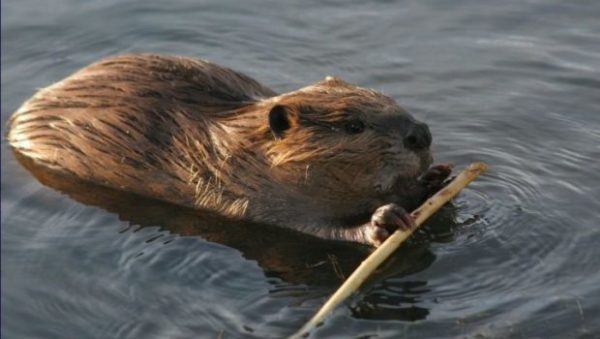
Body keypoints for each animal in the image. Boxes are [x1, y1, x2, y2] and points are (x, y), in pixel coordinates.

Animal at [5, 54, 450, 248]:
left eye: (389, 99)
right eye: (353, 125)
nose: (421, 134)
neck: (239, 145)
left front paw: (436, 177)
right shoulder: (248, 195)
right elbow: (313, 229)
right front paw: (383, 221)